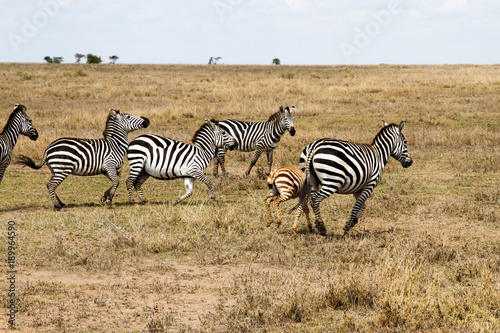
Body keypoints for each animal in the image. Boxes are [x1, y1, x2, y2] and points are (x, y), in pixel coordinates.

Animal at [18, 108, 150, 210]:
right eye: (128, 116)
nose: (147, 120)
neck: (115, 144)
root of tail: (49, 148)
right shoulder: (110, 164)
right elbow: (116, 182)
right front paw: (109, 201)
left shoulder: (105, 169)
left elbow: (114, 182)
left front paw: (105, 196)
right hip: (62, 169)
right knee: (51, 185)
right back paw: (58, 206)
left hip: (55, 169)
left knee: (50, 185)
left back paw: (60, 203)